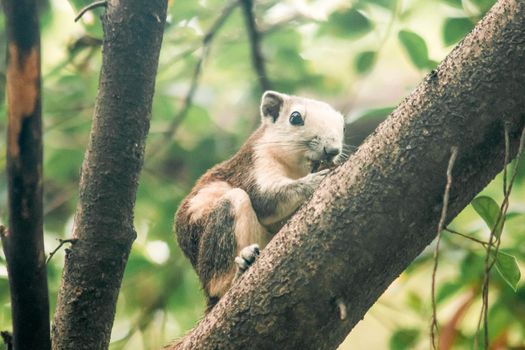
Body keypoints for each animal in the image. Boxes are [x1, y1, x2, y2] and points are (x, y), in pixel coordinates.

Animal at [174, 89, 346, 308]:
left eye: (342, 125)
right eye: (295, 117)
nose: (332, 150)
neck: (296, 168)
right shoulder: (254, 163)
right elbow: (264, 199)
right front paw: (314, 181)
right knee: (218, 283)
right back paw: (239, 271)